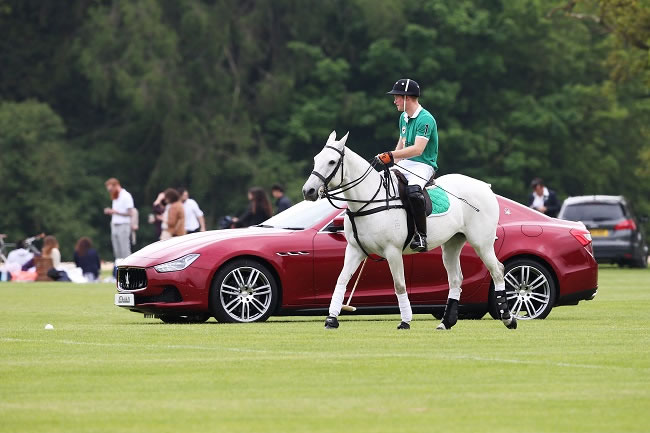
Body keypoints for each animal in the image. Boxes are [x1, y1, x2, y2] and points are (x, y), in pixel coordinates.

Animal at [300, 130, 516, 330]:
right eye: (316, 159)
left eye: (331, 161)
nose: (308, 191)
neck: (367, 200)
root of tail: (485, 186)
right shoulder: (355, 249)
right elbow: (342, 280)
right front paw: (331, 319)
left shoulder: (392, 251)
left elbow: (399, 284)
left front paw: (405, 321)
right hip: (452, 243)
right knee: (456, 279)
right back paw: (446, 322)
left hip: (482, 242)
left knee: (497, 271)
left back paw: (508, 318)